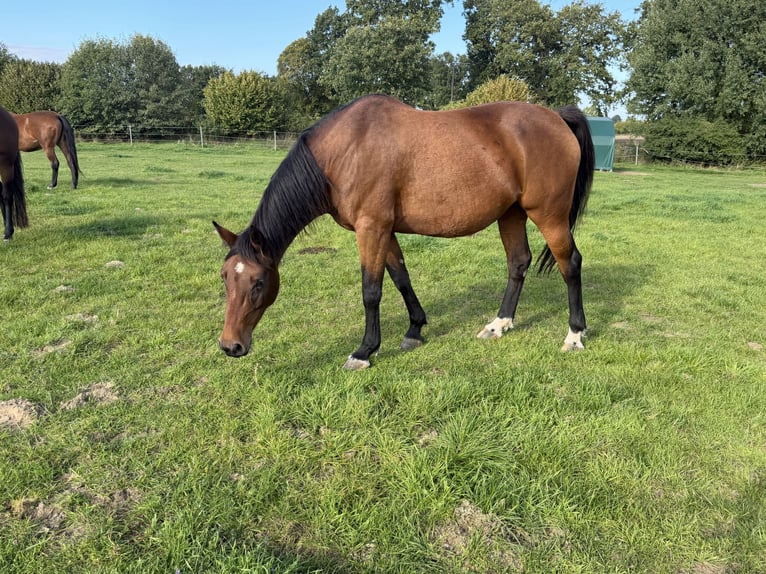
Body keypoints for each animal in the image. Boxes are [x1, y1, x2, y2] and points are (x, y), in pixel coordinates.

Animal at [214, 94, 594, 370]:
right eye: (225, 277)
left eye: (259, 282)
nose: (230, 345)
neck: (344, 151)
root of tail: (556, 117)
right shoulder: (385, 230)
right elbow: (400, 278)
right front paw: (414, 330)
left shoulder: (371, 228)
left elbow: (371, 290)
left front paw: (364, 351)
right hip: (511, 214)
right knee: (518, 263)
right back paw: (498, 325)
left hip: (549, 215)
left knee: (571, 264)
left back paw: (575, 335)